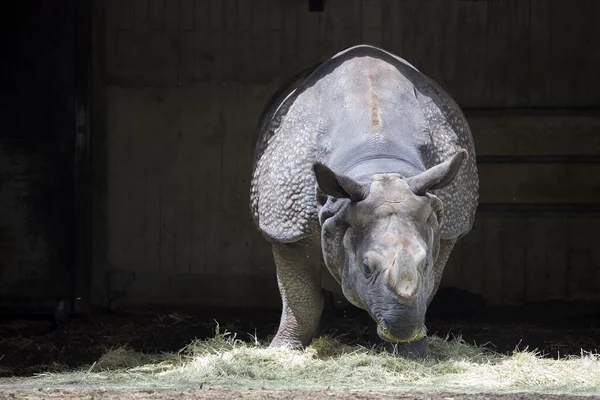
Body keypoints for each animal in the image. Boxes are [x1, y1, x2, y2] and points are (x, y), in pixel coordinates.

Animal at [248, 43, 478, 356]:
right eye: (366, 267)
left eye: (425, 263)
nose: (403, 328)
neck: (378, 163)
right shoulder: (286, 226)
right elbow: (300, 297)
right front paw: (283, 351)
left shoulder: (448, 224)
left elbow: (428, 287)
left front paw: (411, 352)